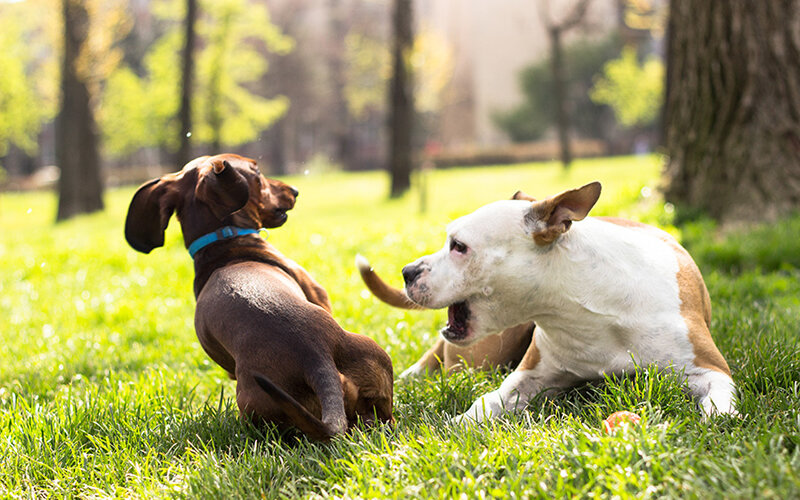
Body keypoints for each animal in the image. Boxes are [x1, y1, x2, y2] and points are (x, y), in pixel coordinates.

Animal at [400, 182, 736, 420]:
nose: (407, 271)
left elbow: (721, 401)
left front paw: (719, 415)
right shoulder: (530, 376)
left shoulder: (709, 368)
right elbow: (488, 401)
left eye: (458, 246)